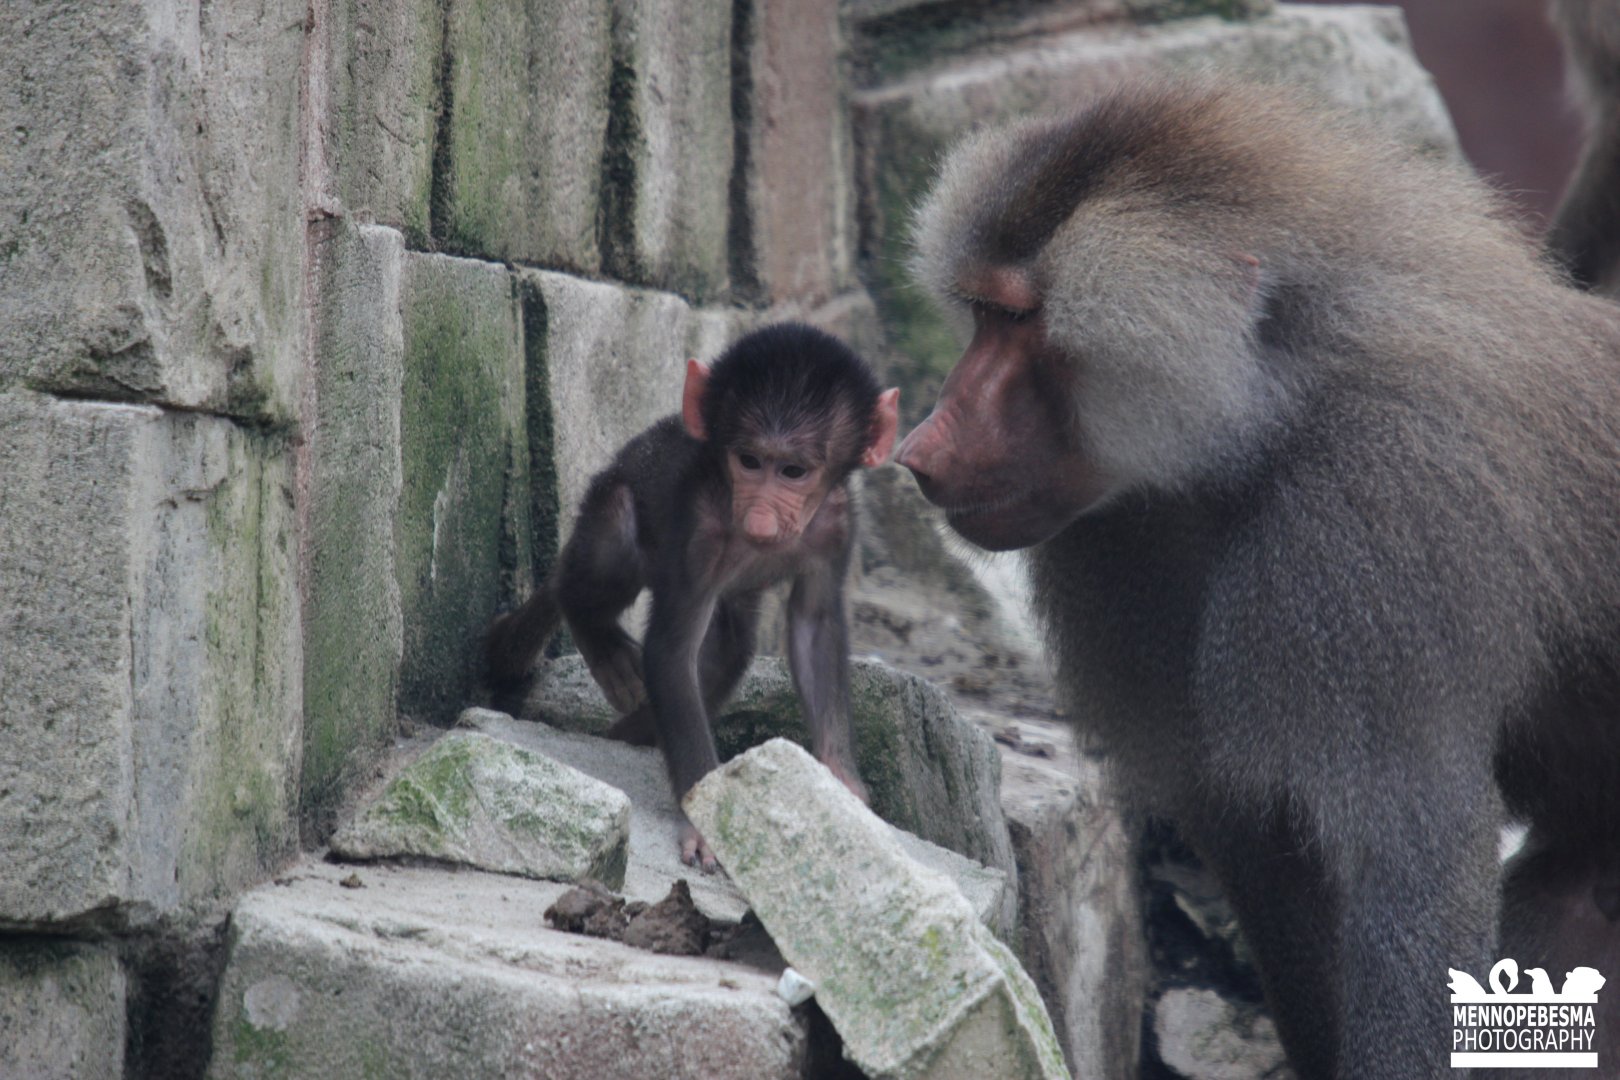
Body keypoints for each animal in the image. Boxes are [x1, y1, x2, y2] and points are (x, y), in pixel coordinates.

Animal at [486, 323, 900, 869]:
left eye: (794, 471)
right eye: (749, 461)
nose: (760, 519)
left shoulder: (837, 524)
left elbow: (815, 630)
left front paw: (842, 780)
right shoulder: (699, 529)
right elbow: (671, 649)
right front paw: (704, 817)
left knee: (729, 649)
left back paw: (629, 734)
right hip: (604, 514)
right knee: (599, 549)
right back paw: (595, 632)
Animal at [896, 79, 1620, 1078]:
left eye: (1019, 322)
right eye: (980, 315)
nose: (919, 451)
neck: (1264, 420)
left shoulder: (1379, 515)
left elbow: (1411, 862)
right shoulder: (1124, 542)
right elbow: (1258, 842)